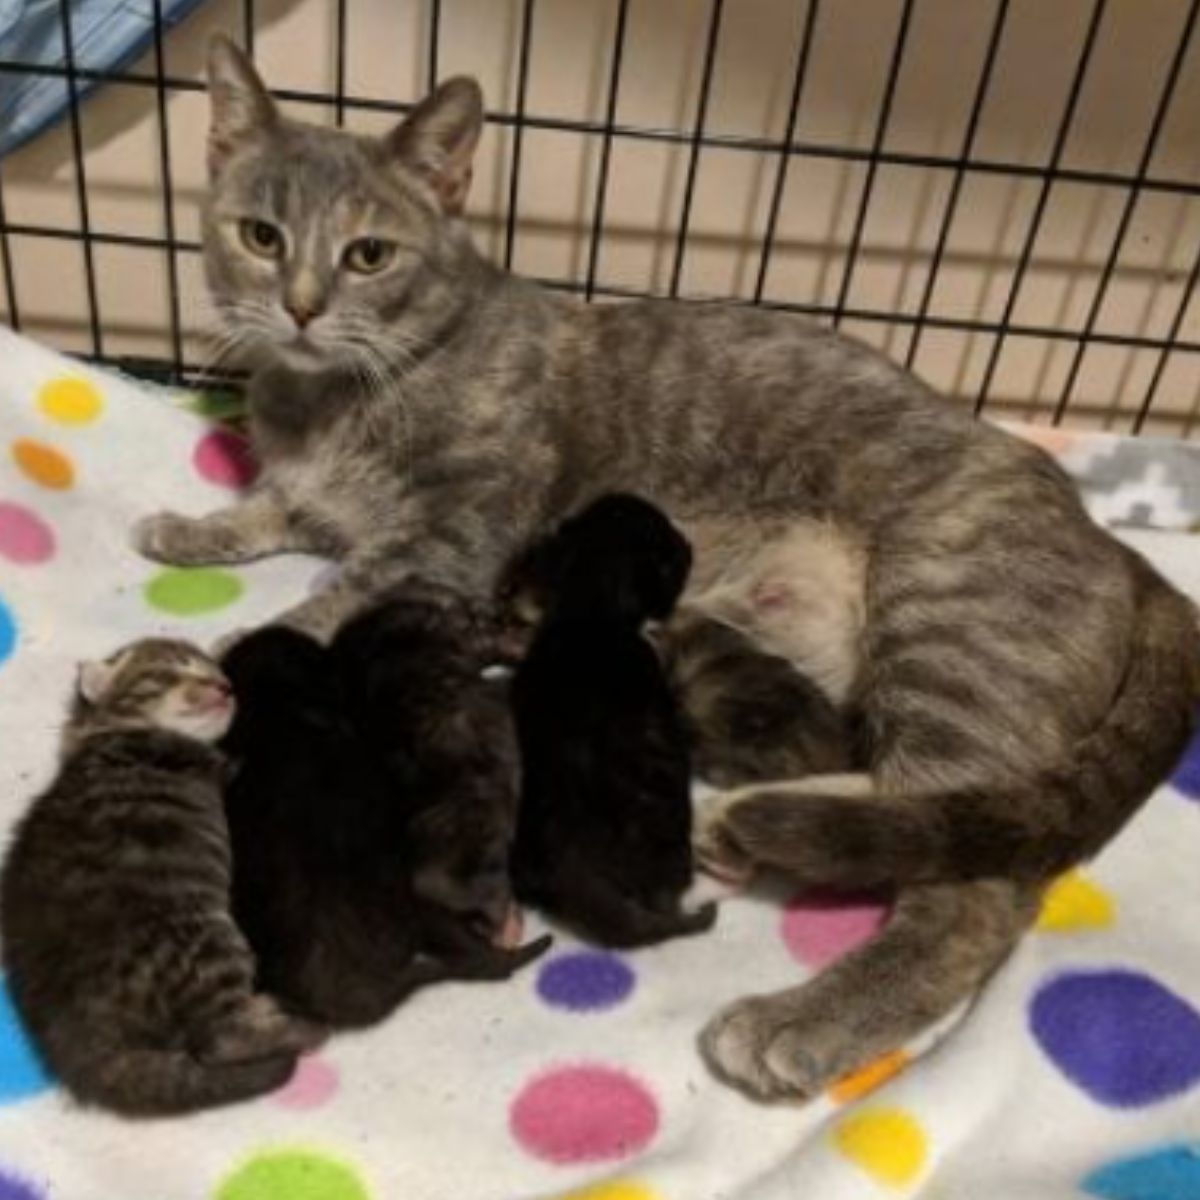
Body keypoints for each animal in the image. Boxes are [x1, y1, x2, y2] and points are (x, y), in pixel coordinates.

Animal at [0, 638, 324, 1113]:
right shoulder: (213, 763)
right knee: (219, 1038)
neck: (119, 730)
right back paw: (300, 1027)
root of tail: (84, 1046)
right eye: (169, 673)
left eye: (213, 670)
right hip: (208, 942)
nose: (225, 687)